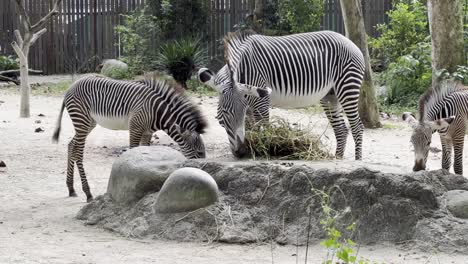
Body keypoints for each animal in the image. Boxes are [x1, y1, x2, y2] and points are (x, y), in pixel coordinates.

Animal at [51, 76, 207, 202]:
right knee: (78, 151)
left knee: (71, 145)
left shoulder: (147, 133)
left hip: (89, 122)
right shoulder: (135, 128)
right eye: (199, 153)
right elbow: (133, 151)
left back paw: (71, 188)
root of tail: (71, 86)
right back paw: (88, 193)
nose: (204, 172)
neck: (157, 111)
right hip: (81, 119)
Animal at [197, 30, 366, 159]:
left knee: (357, 126)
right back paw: (337, 158)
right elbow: (251, 130)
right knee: (341, 129)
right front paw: (252, 149)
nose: (240, 153)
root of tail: (348, 41)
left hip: (347, 87)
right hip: (330, 95)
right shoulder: (249, 104)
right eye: (222, 117)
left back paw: (357, 161)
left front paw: (264, 151)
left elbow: (263, 127)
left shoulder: (261, 102)